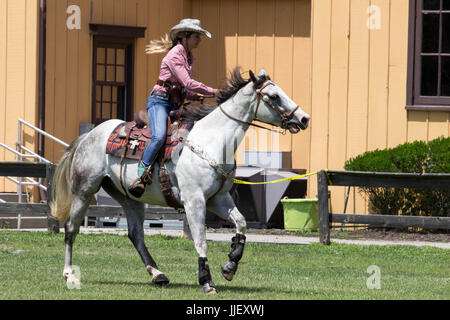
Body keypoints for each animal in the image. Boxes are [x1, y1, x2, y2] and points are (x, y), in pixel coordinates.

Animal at [49, 69, 310, 294]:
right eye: (274, 96)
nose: (304, 118)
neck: (212, 142)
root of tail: (88, 136)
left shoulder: (219, 199)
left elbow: (242, 224)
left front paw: (230, 266)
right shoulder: (194, 201)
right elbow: (201, 241)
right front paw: (207, 282)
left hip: (129, 197)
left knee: (136, 234)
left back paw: (158, 274)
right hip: (84, 191)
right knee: (71, 229)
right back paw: (69, 274)